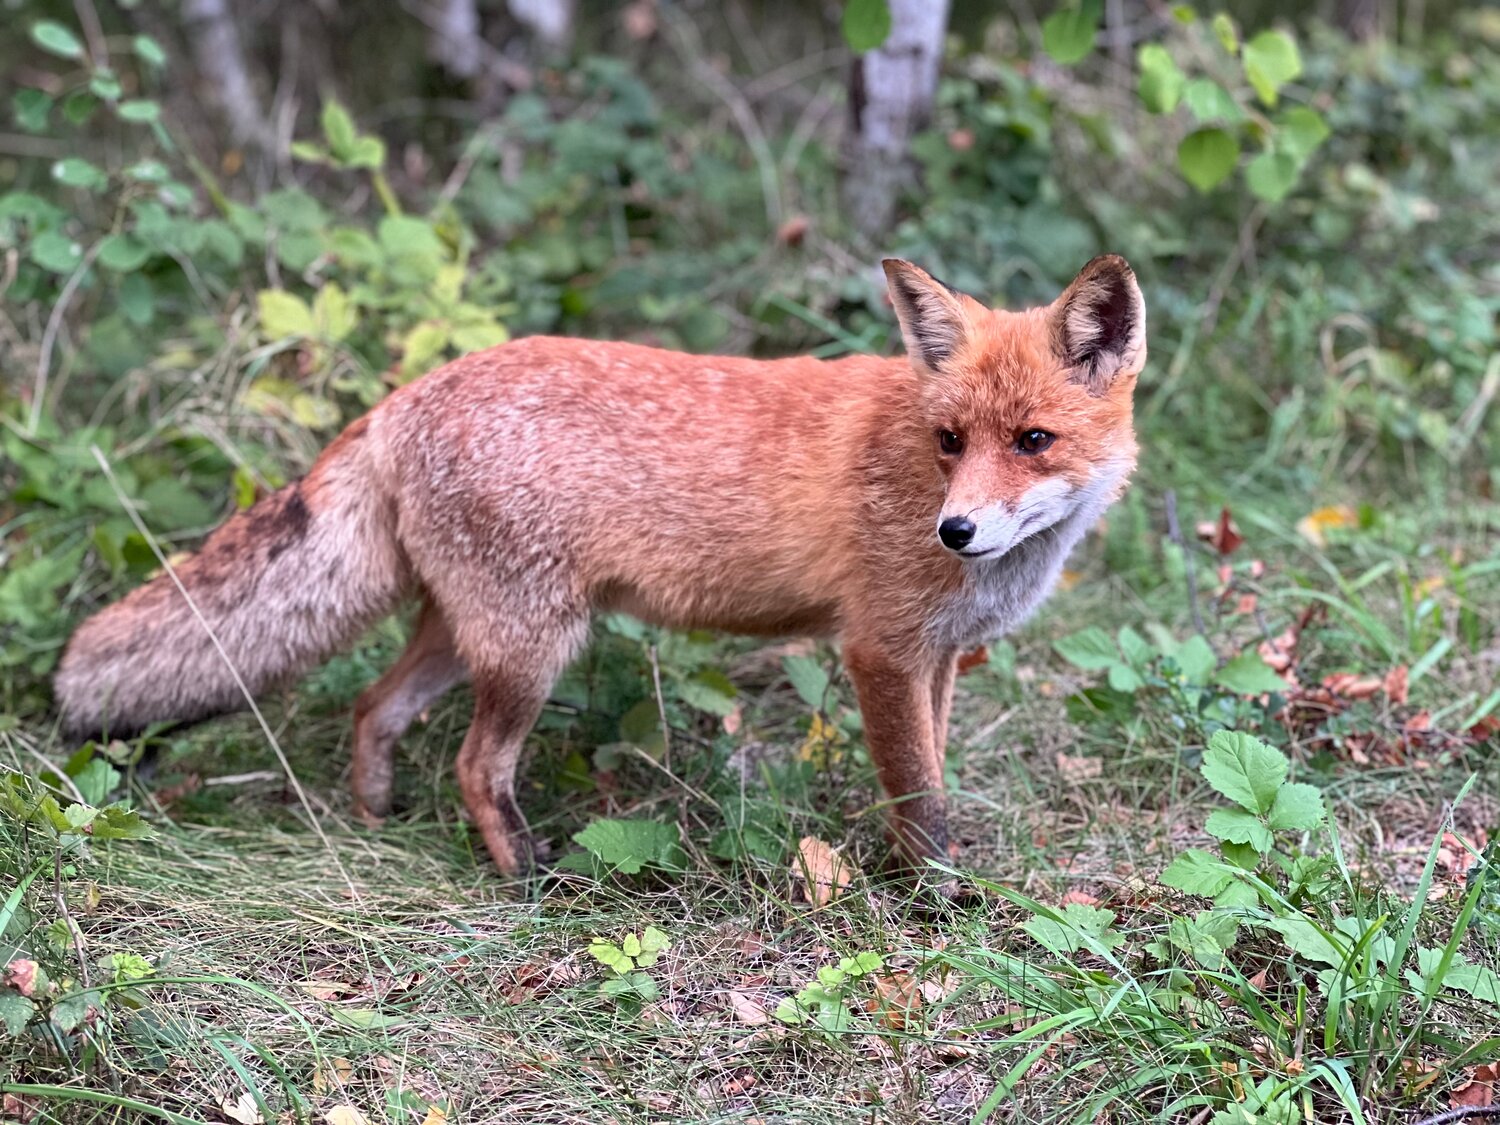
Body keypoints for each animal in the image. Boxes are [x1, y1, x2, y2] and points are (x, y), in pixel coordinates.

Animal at [55, 255, 1145, 878]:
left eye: (1034, 440)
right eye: (952, 440)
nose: (955, 531)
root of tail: (406, 397)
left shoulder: (940, 659)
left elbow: (935, 775)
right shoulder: (880, 653)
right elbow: (916, 796)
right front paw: (935, 902)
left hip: (468, 635)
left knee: (375, 707)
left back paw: (372, 819)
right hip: (534, 652)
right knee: (474, 763)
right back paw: (524, 872)